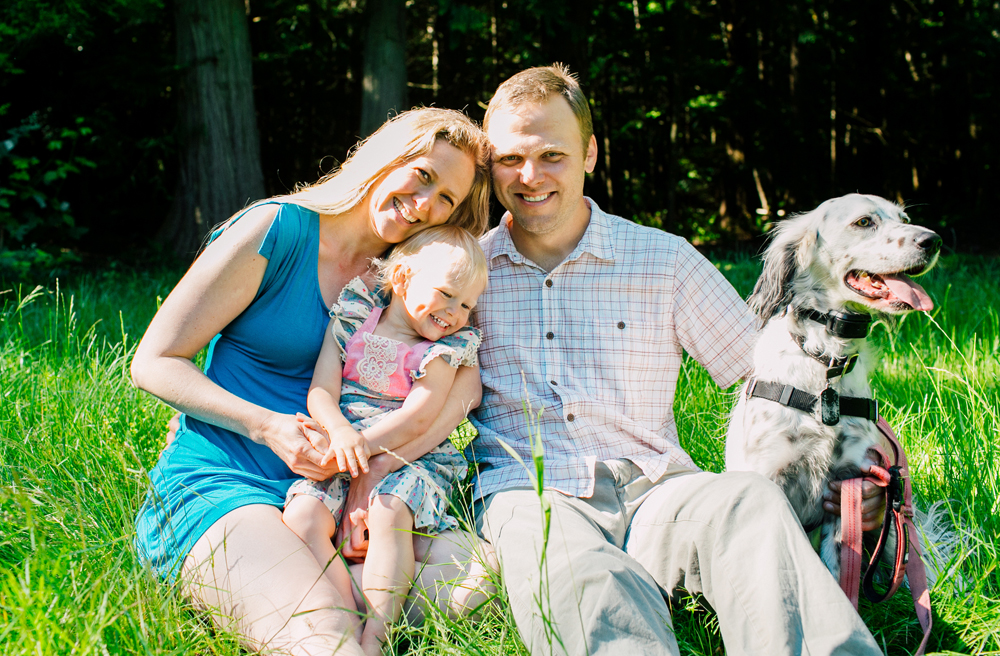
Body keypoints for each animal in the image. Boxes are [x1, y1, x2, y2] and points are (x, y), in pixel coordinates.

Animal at [728, 192, 936, 576]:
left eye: (902, 219)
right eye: (864, 222)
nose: (933, 240)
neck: (826, 363)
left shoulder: (846, 483)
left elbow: (838, 567)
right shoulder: (769, 474)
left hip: (893, 533)